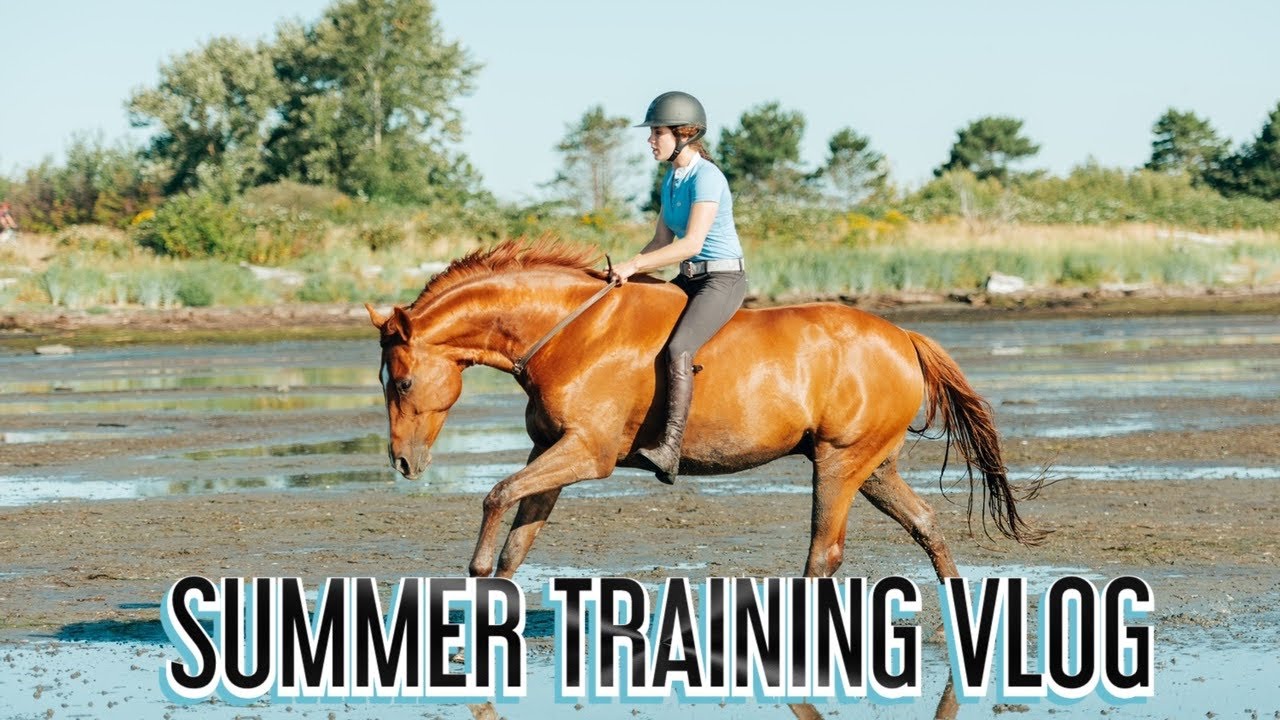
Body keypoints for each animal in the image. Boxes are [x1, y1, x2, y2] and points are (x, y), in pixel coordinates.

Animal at [366, 239, 1042, 582]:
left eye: (401, 382)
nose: (402, 463)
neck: (569, 333)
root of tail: (902, 336)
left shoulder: (588, 454)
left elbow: (497, 496)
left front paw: (476, 572)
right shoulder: (552, 451)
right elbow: (517, 539)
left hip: (839, 463)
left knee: (823, 554)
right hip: (872, 466)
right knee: (925, 524)